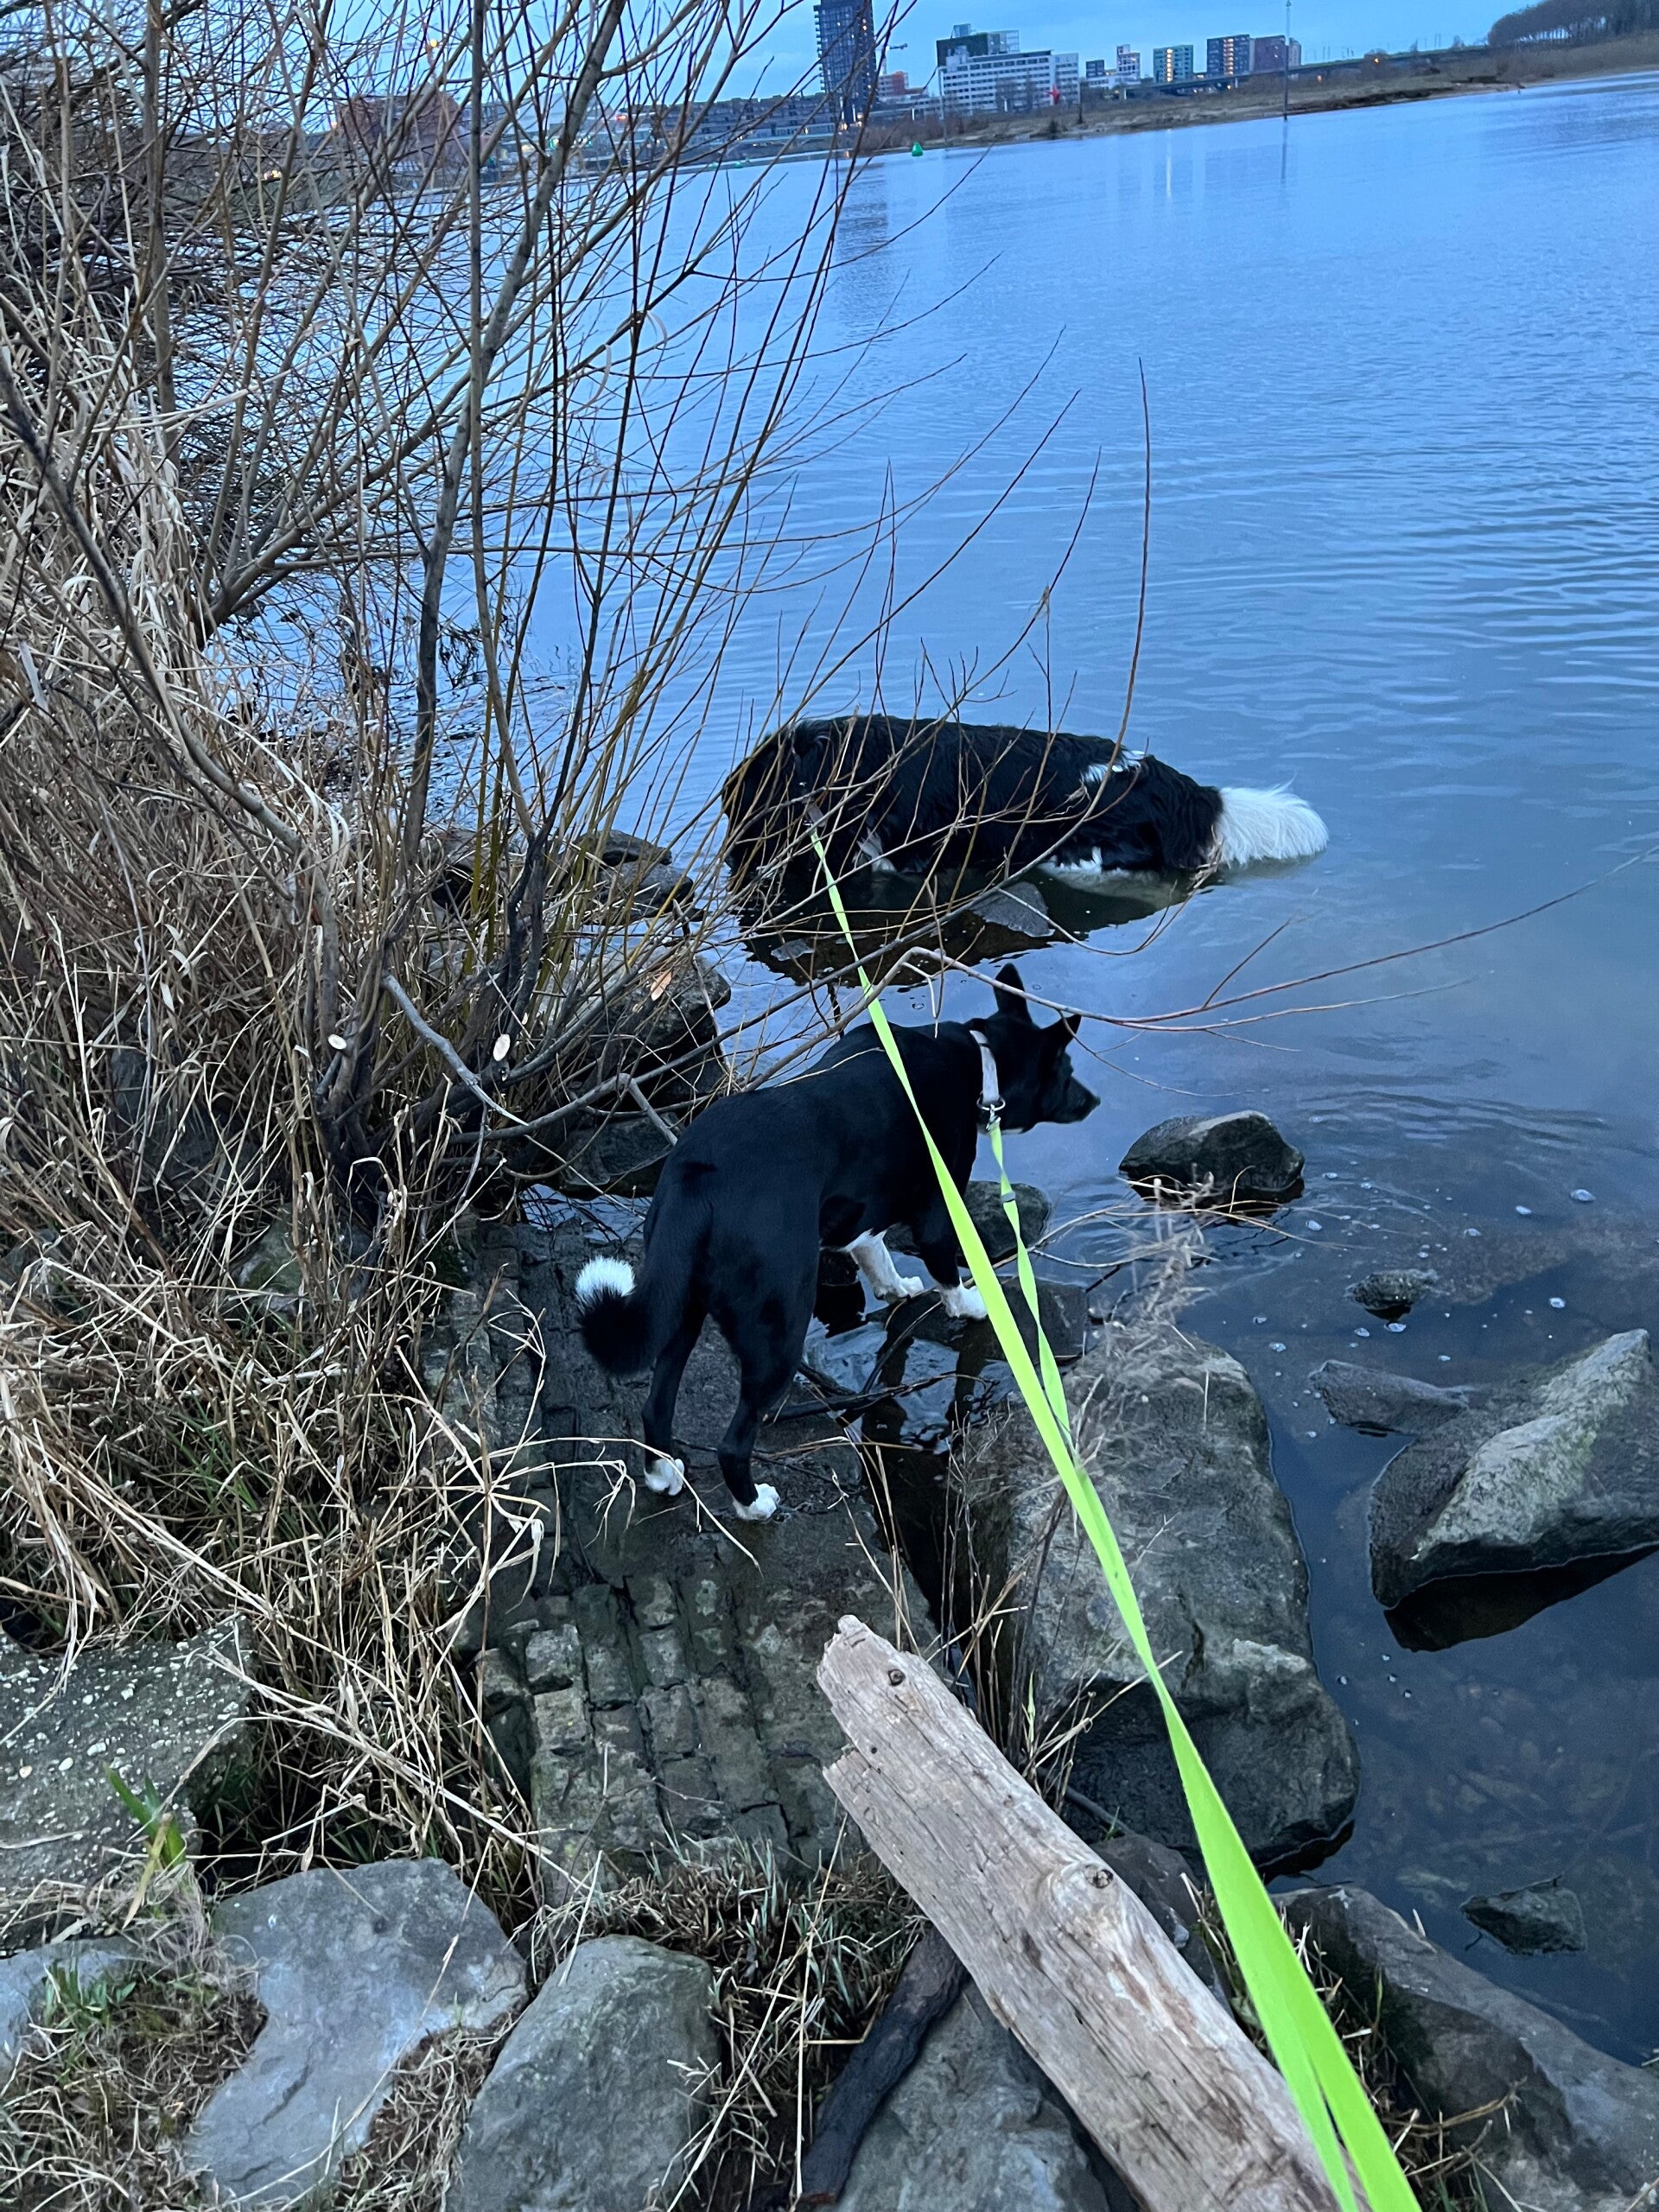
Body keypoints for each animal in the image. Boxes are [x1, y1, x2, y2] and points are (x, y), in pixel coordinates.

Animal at [575, 965, 1098, 1520]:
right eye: (1065, 1069)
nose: (1094, 1101)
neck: (980, 1060)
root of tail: (699, 1182)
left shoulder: (866, 1211)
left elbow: (877, 1253)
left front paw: (898, 1289)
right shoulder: (939, 1209)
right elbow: (947, 1271)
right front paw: (973, 1306)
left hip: (681, 1308)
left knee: (656, 1407)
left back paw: (663, 1475)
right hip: (779, 1328)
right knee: (733, 1442)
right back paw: (753, 1505)